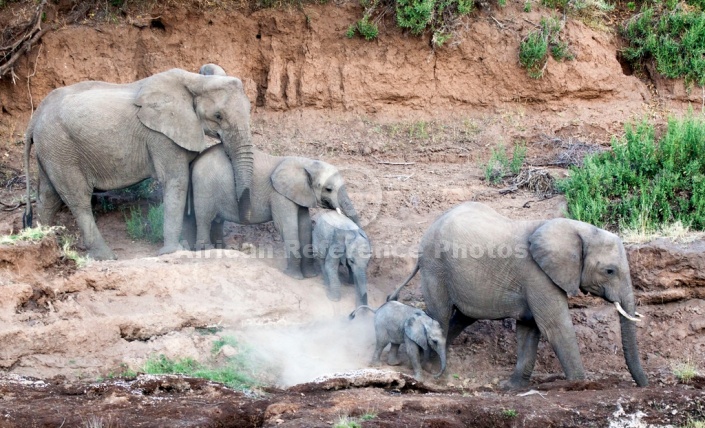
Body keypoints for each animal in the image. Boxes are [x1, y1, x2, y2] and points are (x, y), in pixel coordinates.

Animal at [23, 67, 254, 260]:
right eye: (218, 115)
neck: (196, 80)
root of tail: (35, 117)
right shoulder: (160, 135)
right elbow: (176, 181)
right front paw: (173, 251)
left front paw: (188, 248)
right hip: (61, 148)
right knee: (78, 198)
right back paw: (106, 256)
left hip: (51, 150)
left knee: (48, 197)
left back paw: (47, 245)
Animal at [183, 145, 358, 280]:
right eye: (328, 189)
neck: (306, 163)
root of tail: (196, 160)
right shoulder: (279, 194)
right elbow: (288, 226)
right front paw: (293, 277)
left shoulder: (298, 195)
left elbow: (305, 226)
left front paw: (310, 276)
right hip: (204, 186)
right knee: (205, 218)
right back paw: (206, 250)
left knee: (216, 221)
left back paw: (222, 249)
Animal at [388, 201, 648, 388]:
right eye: (609, 271)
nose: (643, 386)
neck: (576, 228)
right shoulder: (537, 275)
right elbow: (555, 327)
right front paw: (581, 385)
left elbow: (530, 329)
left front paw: (511, 387)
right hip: (435, 268)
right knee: (439, 314)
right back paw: (432, 370)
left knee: (461, 318)